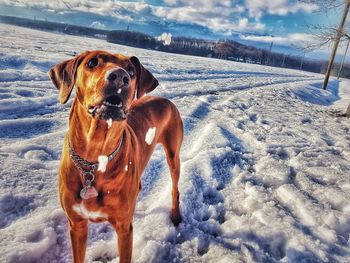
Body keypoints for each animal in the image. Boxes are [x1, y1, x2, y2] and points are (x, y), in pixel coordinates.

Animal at [48, 50, 183, 262]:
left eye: (131, 71)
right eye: (92, 62)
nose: (120, 77)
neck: (95, 158)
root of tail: (166, 100)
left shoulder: (124, 229)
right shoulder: (77, 224)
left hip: (173, 154)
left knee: (175, 187)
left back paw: (176, 215)